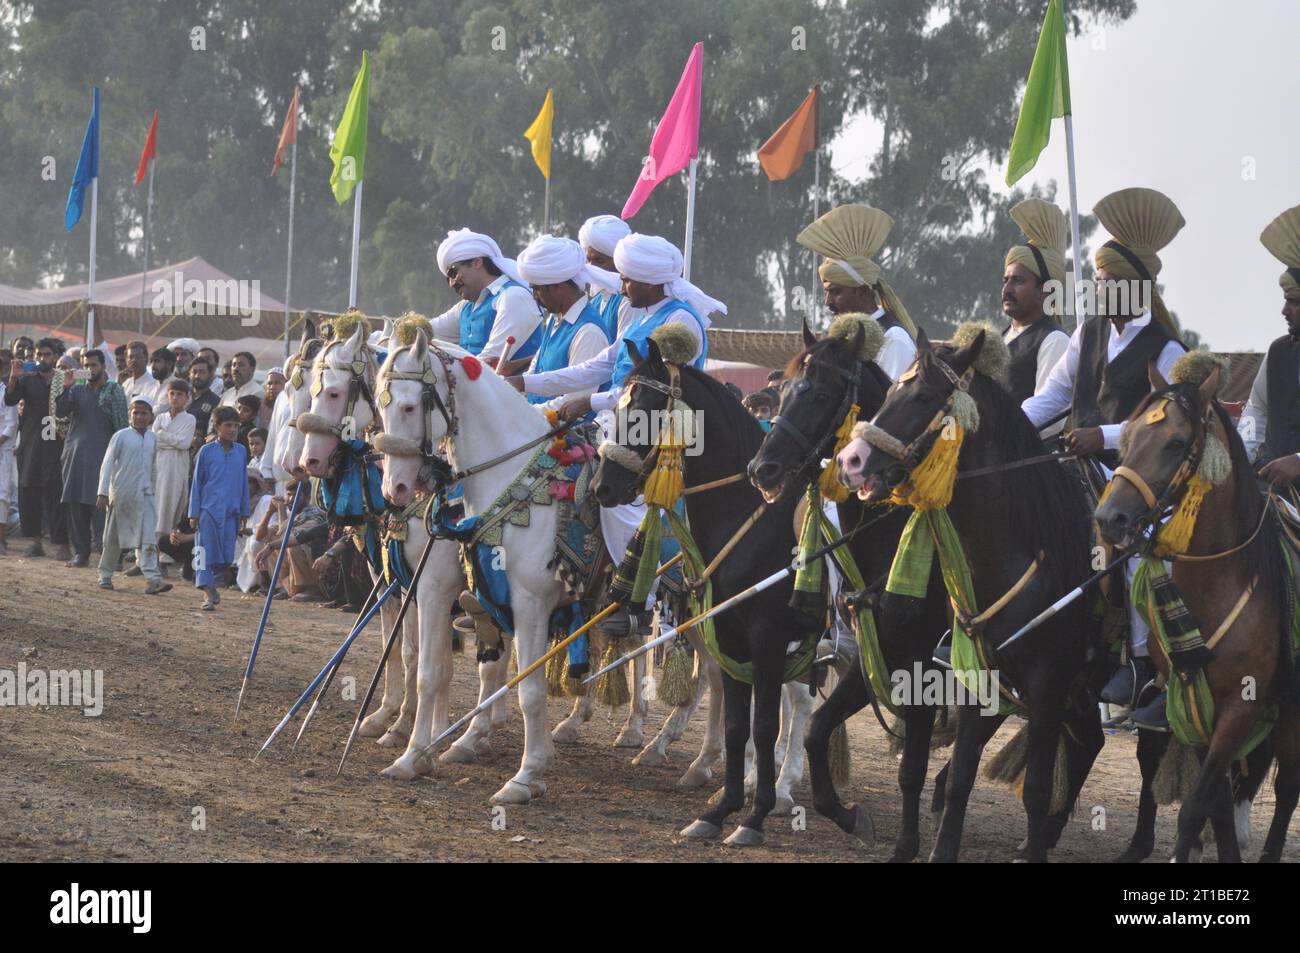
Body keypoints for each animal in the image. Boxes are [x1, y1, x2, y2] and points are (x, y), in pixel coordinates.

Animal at [595, 338, 816, 842]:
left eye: (643, 410)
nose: (601, 487)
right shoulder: (726, 628)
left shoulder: (768, 634)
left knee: (802, 702)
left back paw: (784, 784)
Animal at [748, 321, 951, 863]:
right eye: (781, 392)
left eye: (820, 394)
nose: (763, 469)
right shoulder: (869, 658)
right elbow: (817, 729)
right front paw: (846, 814)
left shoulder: (921, 668)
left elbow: (910, 768)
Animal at [842, 328, 1107, 863]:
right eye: (891, 391)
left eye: (924, 397)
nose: (850, 461)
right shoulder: (974, 675)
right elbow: (962, 774)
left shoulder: (1047, 683)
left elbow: (1035, 789)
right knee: (1090, 739)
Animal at [1097, 358, 1300, 863]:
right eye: (1129, 435)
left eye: (1175, 443)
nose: (1110, 518)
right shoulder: (1193, 700)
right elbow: (1218, 803)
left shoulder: (1241, 707)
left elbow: (1195, 805)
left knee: (1288, 787)